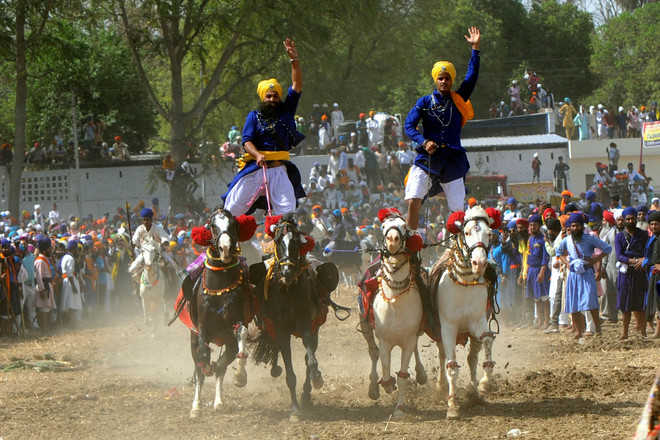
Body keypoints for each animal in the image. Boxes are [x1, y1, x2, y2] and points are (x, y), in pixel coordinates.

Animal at [174, 208, 256, 418]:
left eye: (233, 223)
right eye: (212, 225)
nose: (225, 248)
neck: (219, 286)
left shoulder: (237, 322)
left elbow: (241, 337)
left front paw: (240, 376)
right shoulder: (202, 329)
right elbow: (202, 355)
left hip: (227, 342)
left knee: (222, 366)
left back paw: (218, 401)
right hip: (193, 337)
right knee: (201, 363)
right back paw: (196, 404)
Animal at [249, 215, 340, 422]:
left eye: (297, 242)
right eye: (277, 241)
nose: (287, 272)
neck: (288, 289)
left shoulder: (307, 325)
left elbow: (310, 359)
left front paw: (316, 379)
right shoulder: (281, 331)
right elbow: (290, 373)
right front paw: (295, 410)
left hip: (315, 329)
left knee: (309, 357)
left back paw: (307, 392)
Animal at [360, 211, 428, 418]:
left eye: (404, 227)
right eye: (383, 226)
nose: (392, 240)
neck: (395, 302)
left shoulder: (408, 339)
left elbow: (404, 375)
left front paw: (399, 409)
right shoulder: (385, 341)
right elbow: (385, 367)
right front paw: (387, 385)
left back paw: (421, 374)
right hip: (366, 327)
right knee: (372, 353)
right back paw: (374, 388)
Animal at [434, 206, 496, 420]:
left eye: (489, 233)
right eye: (467, 232)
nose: (479, 263)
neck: (464, 283)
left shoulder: (478, 322)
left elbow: (487, 340)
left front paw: (485, 383)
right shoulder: (448, 327)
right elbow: (451, 365)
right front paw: (452, 406)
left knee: (472, 358)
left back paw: (474, 391)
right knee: (443, 356)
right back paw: (441, 387)